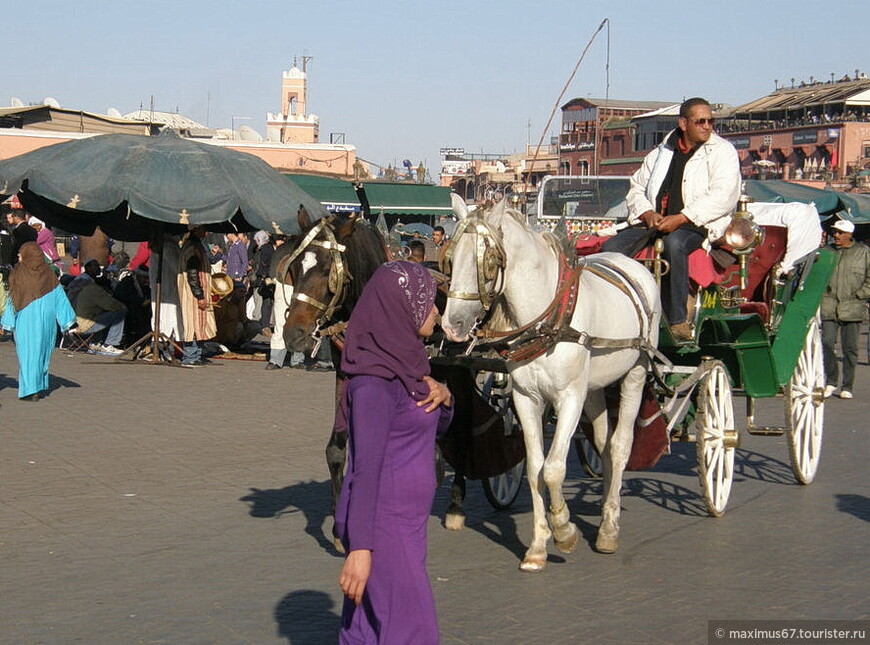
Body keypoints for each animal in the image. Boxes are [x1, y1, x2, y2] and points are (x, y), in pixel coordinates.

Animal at [442, 200, 660, 568]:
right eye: (451, 258)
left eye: (488, 262)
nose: (452, 325)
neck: (547, 320)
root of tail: (633, 264)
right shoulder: (525, 398)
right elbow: (535, 468)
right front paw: (537, 546)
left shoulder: (569, 397)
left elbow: (555, 468)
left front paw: (564, 530)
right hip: (594, 387)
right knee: (602, 443)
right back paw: (604, 513)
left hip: (636, 371)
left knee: (619, 446)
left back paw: (609, 527)